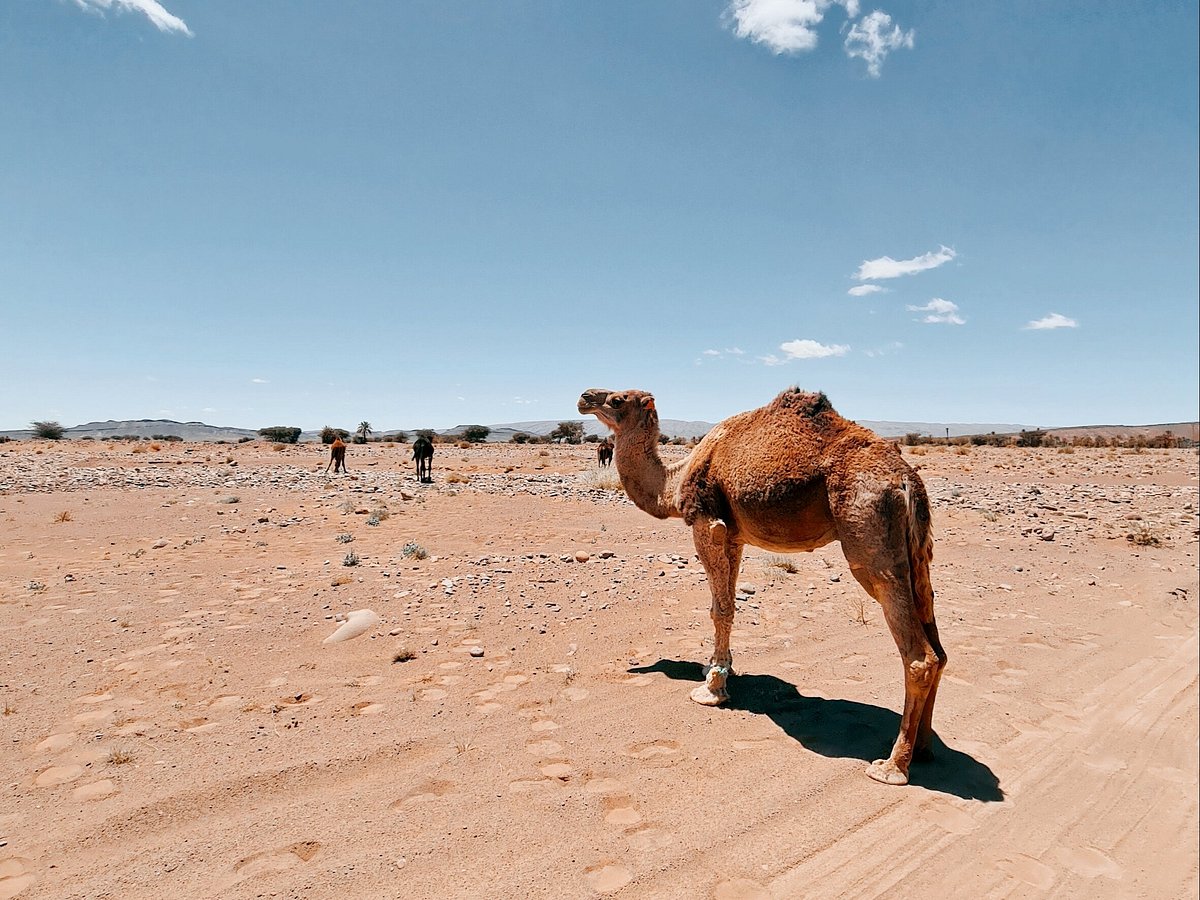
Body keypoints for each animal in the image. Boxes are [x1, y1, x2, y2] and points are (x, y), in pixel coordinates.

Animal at [576, 388, 950, 787]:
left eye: (617, 400)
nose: (584, 397)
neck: (674, 482)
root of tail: (907, 480)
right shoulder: (734, 535)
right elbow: (727, 604)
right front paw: (717, 669)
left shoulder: (707, 523)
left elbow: (720, 608)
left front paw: (712, 689)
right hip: (916, 550)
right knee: (938, 646)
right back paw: (923, 750)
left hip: (869, 534)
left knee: (919, 654)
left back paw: (892, 766)